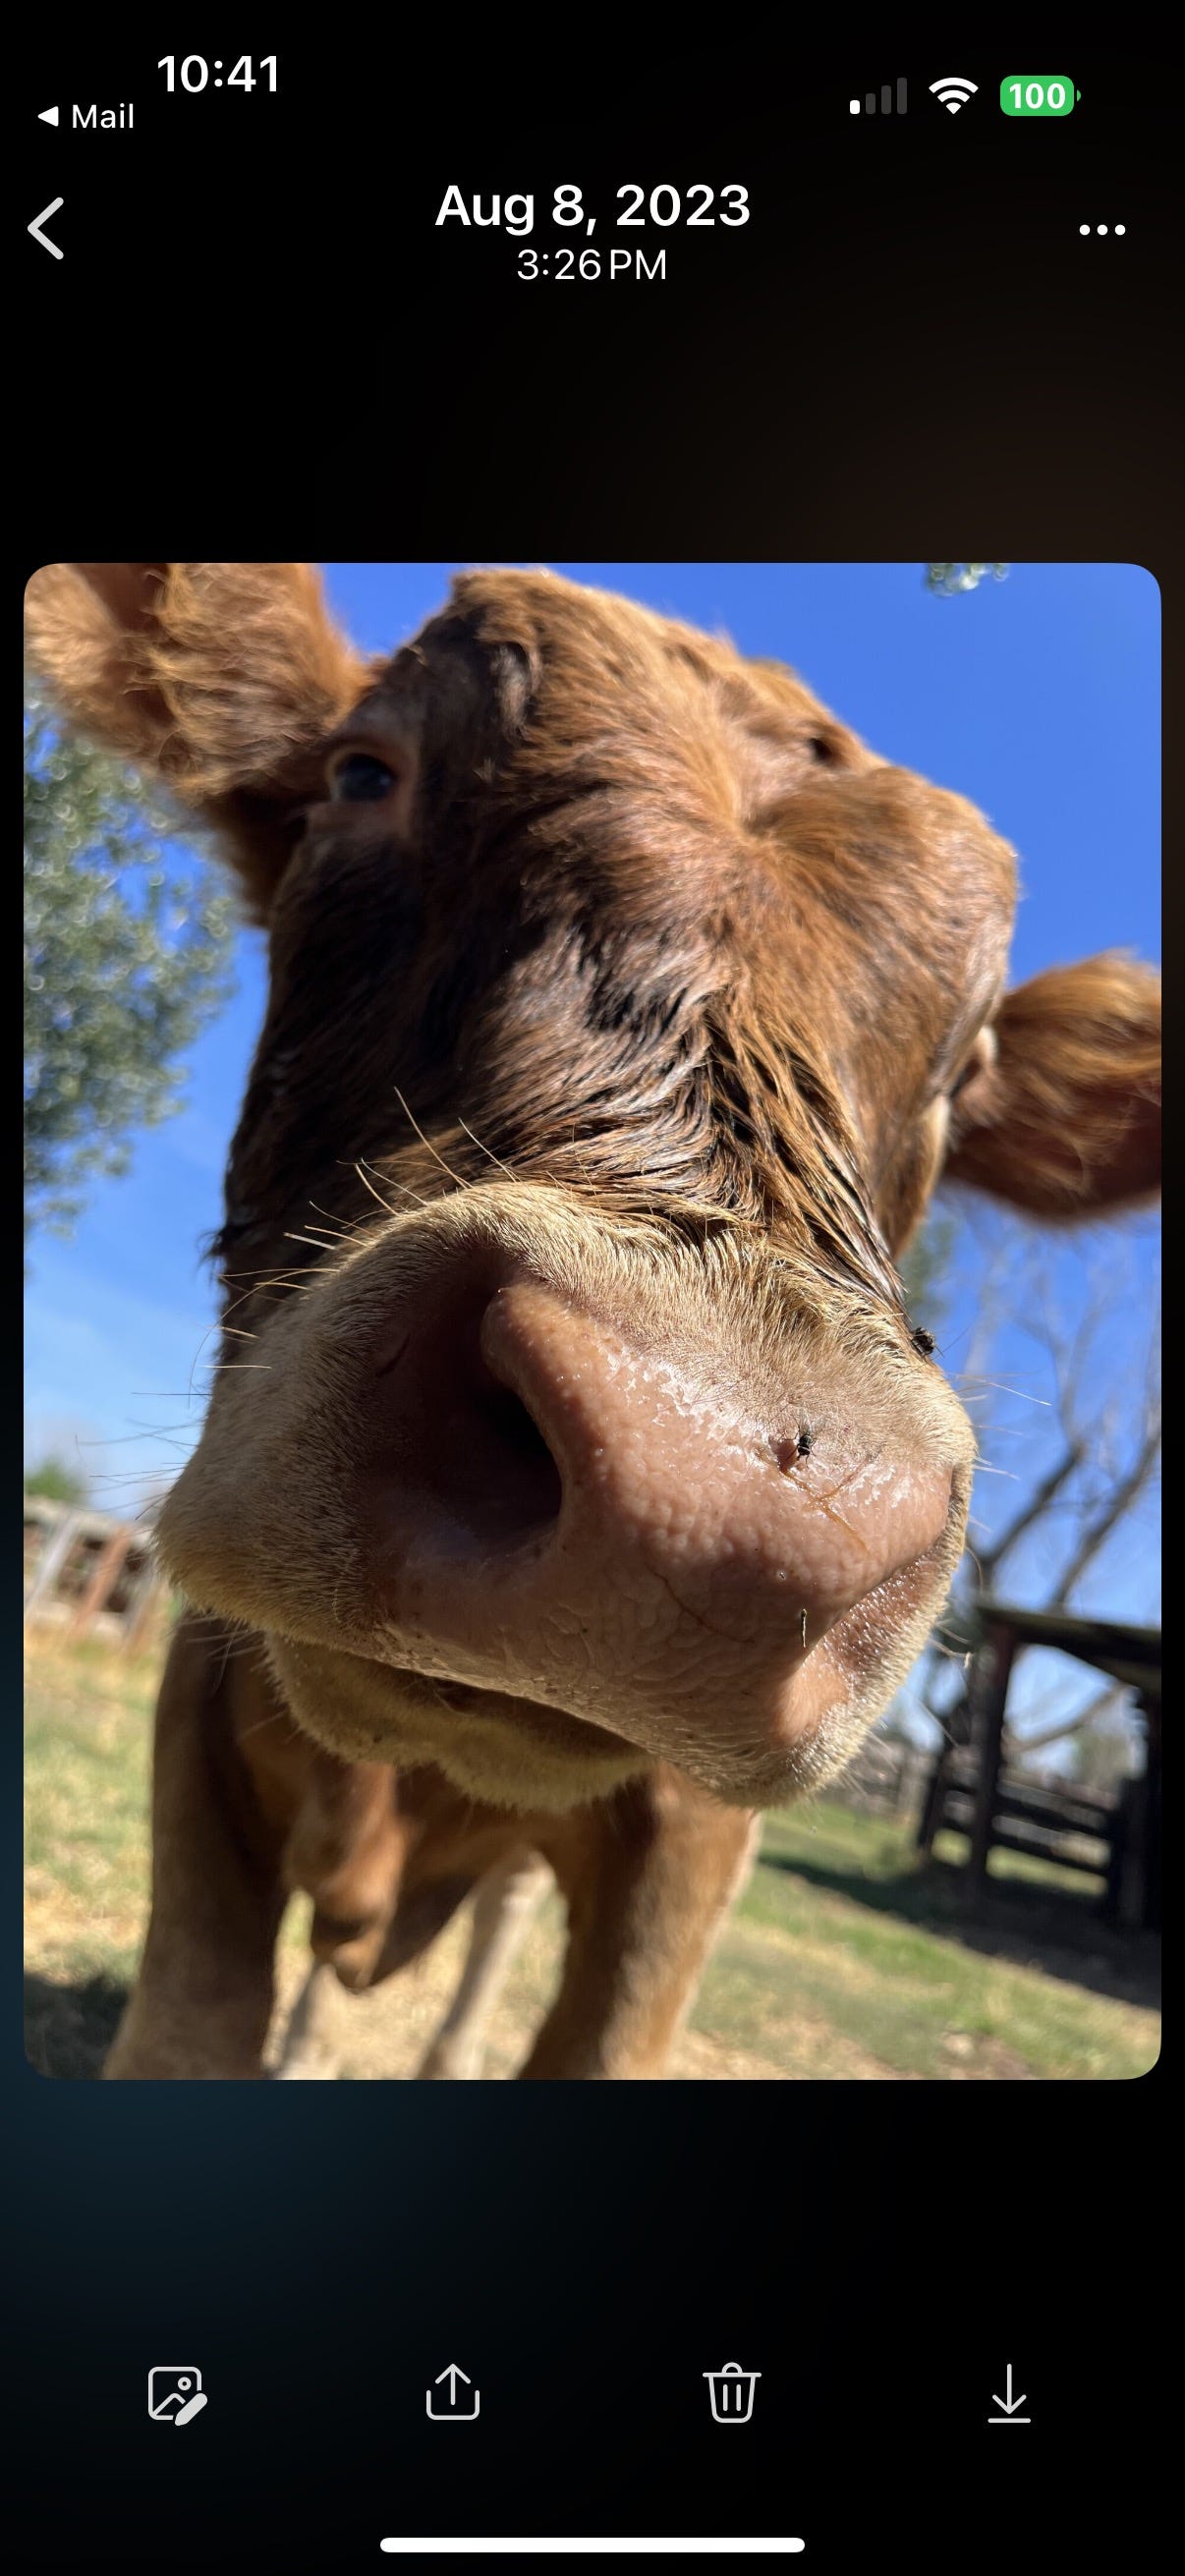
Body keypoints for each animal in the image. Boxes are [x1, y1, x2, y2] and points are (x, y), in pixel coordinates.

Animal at [24, 562, 1161, 2080]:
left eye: (969, 1059)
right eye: (365, 771)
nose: (703, 1502)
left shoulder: (688, 1854)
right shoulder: (200, 1715)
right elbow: (194, 2022)